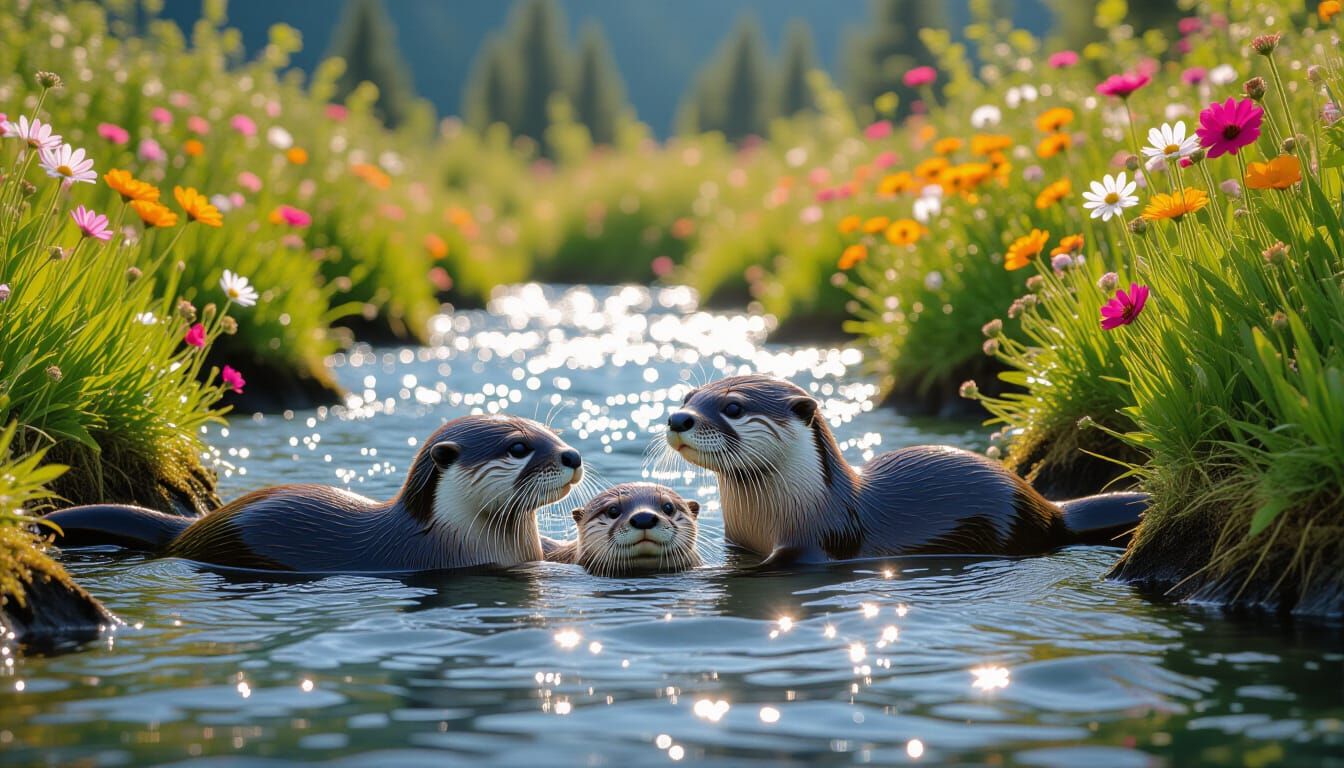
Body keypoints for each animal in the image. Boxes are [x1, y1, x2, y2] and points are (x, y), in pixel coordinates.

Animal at [662, 374, 1146, 566]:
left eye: (733, 407)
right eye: (689, 397)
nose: (678, 418)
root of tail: (1049, 507)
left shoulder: (816, 542)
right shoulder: (739, 542)